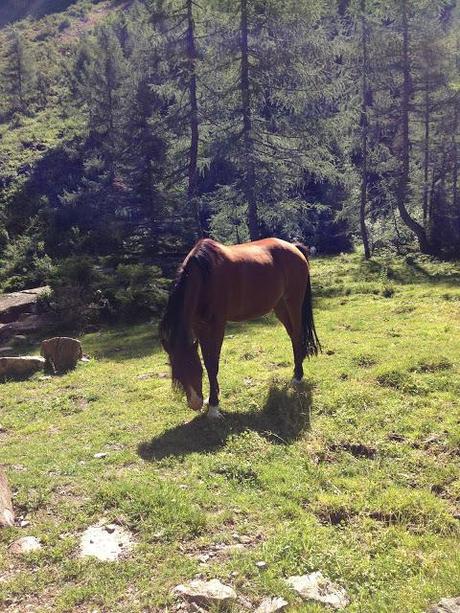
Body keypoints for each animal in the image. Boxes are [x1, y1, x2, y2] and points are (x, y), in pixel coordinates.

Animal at [160, 237, 322, 418]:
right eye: (177, 373)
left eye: (194, 368)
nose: (195, 403)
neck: (204, 276)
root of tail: (294, 247)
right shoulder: (198, 326)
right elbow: (207, 359)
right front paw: (212, 398)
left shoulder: (217, 325)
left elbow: (212, 363)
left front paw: (214, 406)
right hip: (280, 306)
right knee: (293, 335)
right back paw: (296, 372)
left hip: (293, 302)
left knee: (298, 334)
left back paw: (298, 377)